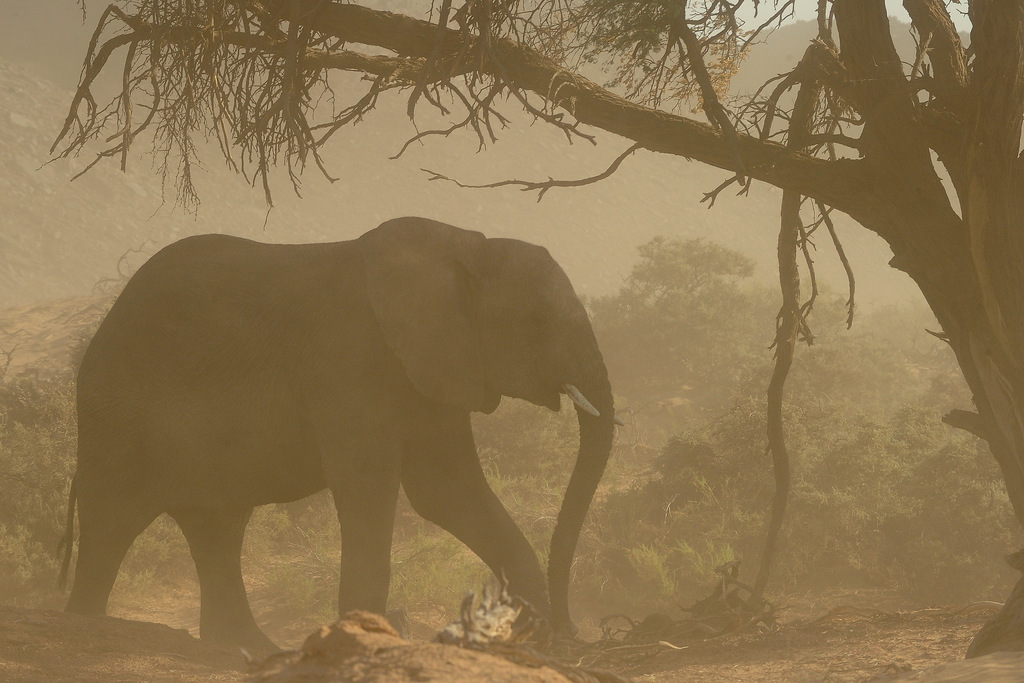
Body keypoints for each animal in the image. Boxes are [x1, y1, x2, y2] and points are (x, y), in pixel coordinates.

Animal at [59, 216, 614, 651]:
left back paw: (248, 649)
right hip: (117, 411)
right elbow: (371, 487)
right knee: (113, 521)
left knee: (218, 529)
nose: (574, 632)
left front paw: (536, 638)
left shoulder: (429, 366)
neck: (464, 245)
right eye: (537, 319)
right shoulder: (353, 361)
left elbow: (446, 490)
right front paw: (367, 637)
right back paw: (86, 626)